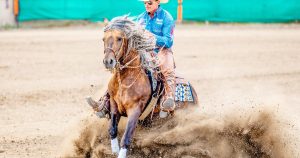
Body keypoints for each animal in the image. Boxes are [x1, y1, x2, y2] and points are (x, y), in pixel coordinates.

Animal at [101, 16, 199, 157]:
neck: (126, 80)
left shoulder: (135, 110)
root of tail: (194, 93)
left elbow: (126, 137)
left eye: (119, 38)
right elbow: (112, 130)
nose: (108, 61)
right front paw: (114, 151)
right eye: (103, 39)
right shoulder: (114, 105)